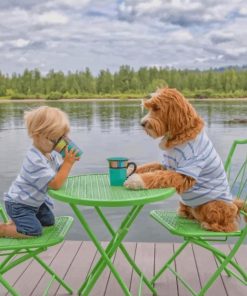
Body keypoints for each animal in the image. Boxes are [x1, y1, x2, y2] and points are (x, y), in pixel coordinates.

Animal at [124, 87, 246, 231]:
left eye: (157, 108)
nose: (142, 123)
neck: (181, 135)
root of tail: (235, 204)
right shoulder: (166, 164)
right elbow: (150, 167)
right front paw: (129, 170)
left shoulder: (185, 172)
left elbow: (159, 176)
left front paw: (135, 180)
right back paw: (186, 213)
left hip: (213, 205)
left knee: (228, 226)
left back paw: (209, 225)